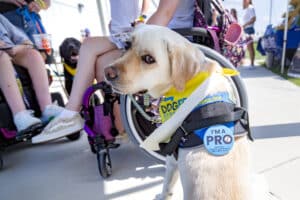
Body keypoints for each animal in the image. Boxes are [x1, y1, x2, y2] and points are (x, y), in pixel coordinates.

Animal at [104, 24, 276, 200]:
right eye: (127, 45)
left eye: (148, 59)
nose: (107, 72)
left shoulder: (172, 159)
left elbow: (166, 187)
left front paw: (161, 196)